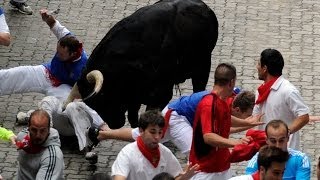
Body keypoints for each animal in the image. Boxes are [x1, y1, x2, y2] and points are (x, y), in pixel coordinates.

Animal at [76, 0, 219, 129]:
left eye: (103, 97)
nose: (114, 124)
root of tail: (205, 8)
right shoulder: (135, 97)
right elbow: (134, 119)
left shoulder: (160, 92)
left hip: (203, 66)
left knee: (198, 89)